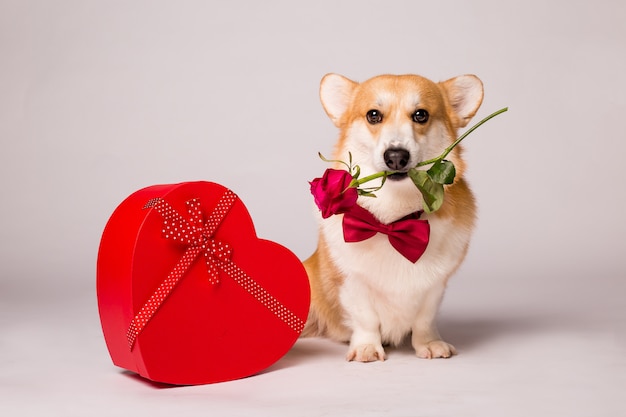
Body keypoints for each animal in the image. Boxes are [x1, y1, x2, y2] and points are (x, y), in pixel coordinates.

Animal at [302, 74, 482, 360]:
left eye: (421, 115)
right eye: (373, 115)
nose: (396, 156)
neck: (394, 221)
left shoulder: (435, 287)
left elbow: (424, 319)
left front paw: (429, 343)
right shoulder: (351, 281)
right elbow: (365, 318)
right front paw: (366, 348)